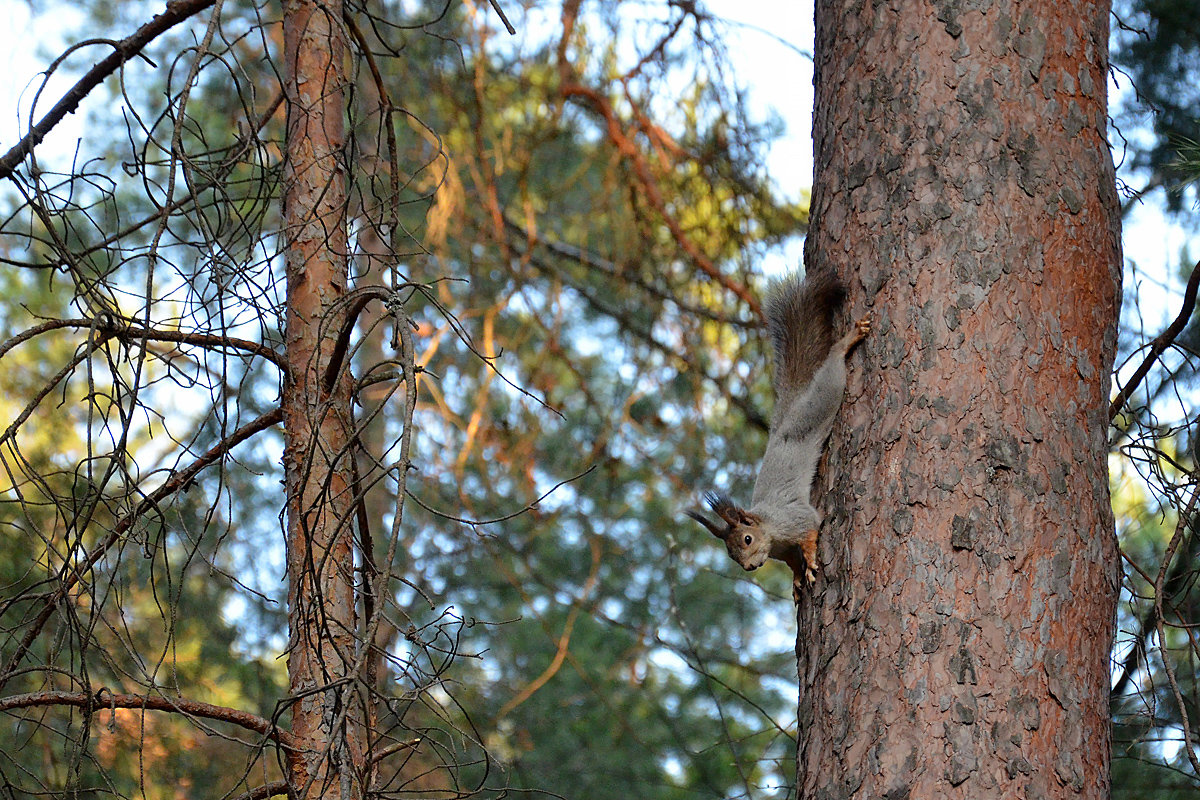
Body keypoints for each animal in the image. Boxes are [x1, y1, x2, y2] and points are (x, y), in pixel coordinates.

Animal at [686, 273, 873, 594]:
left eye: (747, 539)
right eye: (731, 554)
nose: (749, 567)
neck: (771, 530)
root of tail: (782, 423)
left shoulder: (796, 519)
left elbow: (810, 531)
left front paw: (811, 562)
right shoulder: (782, 551)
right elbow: (791, 563)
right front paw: (798, 579)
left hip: (816, 406)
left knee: (830, 377)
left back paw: (845, 343)